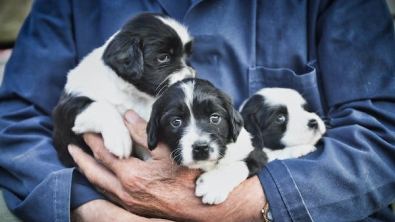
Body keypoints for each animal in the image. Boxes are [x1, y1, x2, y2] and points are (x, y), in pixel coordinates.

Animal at [52, 12, 195, 166]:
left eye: (187, 56)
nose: (189, 78)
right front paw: (119, 138)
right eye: (163, 57)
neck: (132, 94)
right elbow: (102, 106)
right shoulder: (65, 116)